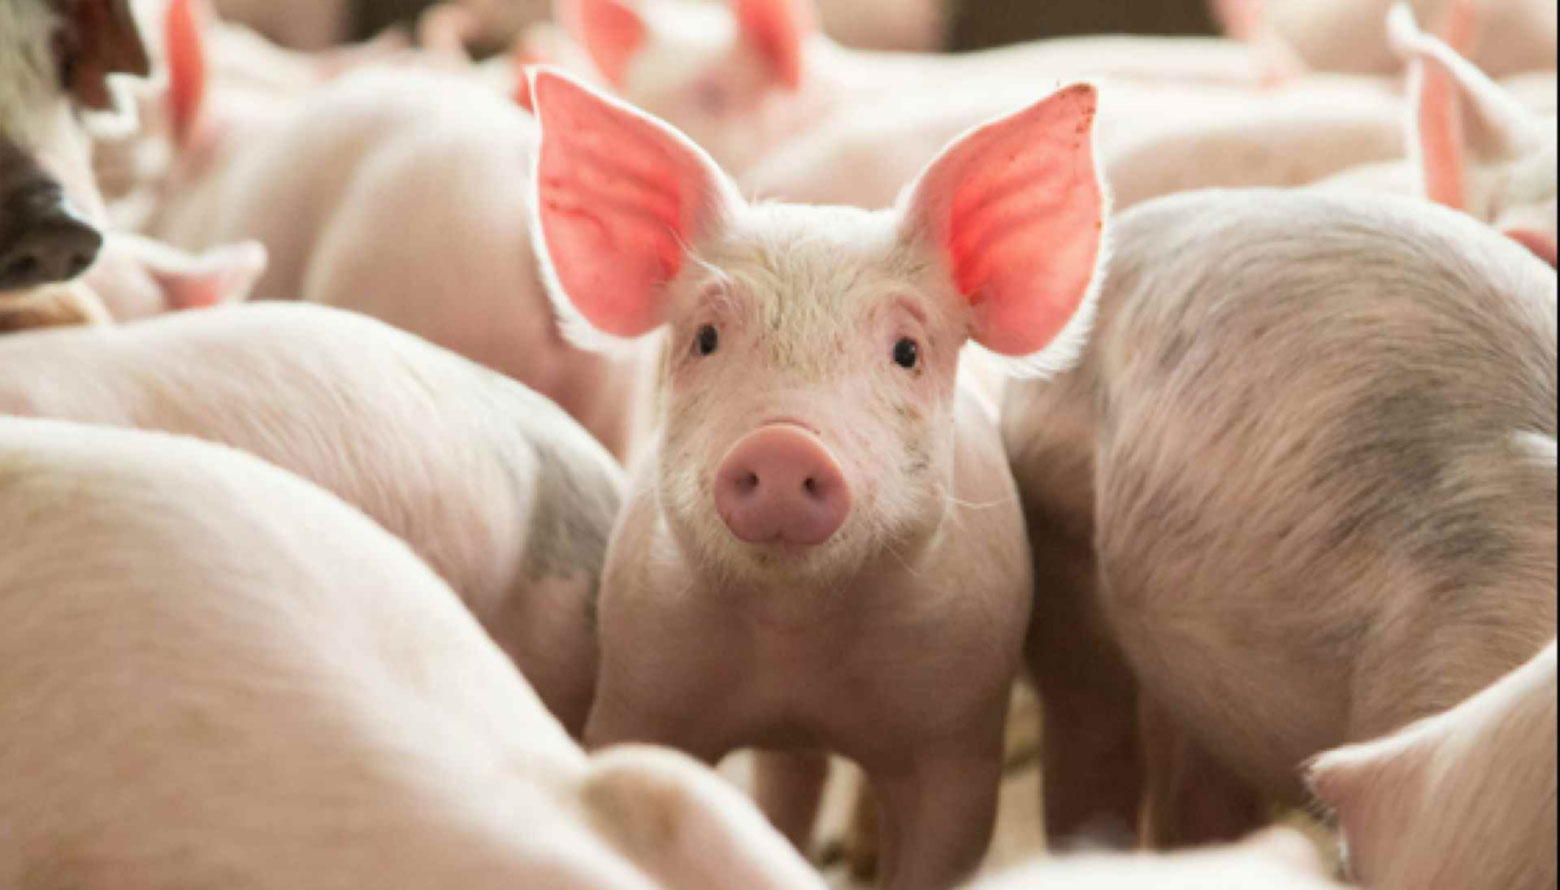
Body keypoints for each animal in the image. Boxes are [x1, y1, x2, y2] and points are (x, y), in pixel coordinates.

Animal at [526, 68, 1110, 890]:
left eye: (906, 351)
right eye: (707, 337)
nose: (783, 447)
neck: (797, 636)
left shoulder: (958, 736)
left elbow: (940, 843)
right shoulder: (641, 685)